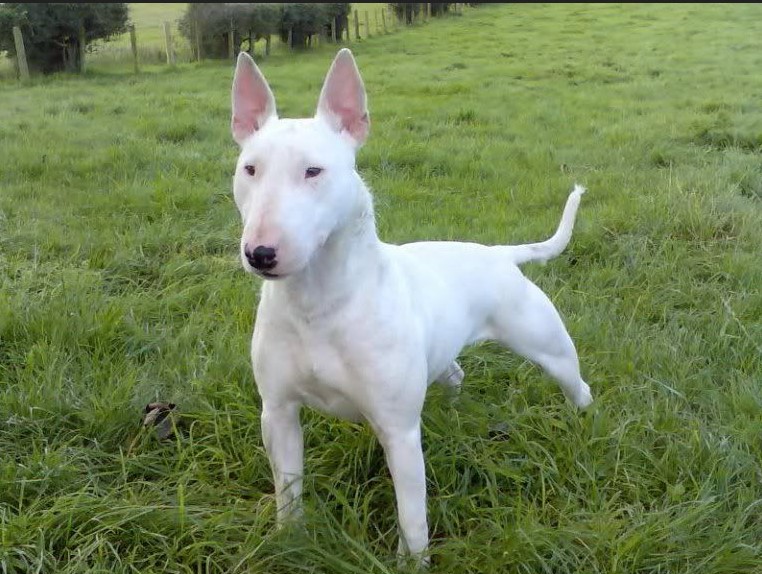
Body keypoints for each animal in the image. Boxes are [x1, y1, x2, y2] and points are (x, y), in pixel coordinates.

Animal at [229, 48, 592, 564]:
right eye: (249, 169)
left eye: (314, 171)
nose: (260, 253)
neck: (320, 301)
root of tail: (499, 254)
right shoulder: (278, 413)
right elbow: (288, 488)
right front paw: (289, 540)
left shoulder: (398, 431)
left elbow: (412, 513)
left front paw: (412, 561)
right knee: (455, 372)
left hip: (547, 344)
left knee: (576, 384)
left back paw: (583, 422)